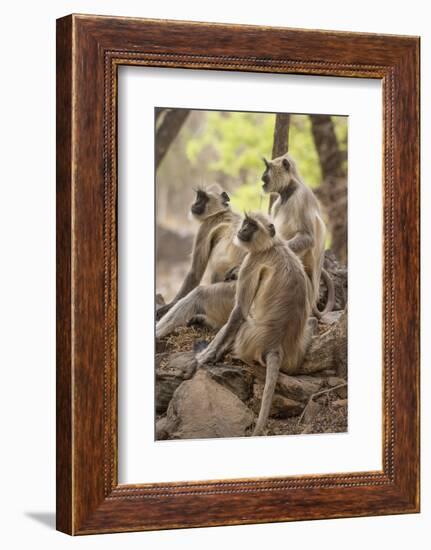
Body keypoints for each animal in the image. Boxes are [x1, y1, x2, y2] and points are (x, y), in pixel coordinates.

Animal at [197, 213, 312, 438]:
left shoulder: (251, 261)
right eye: (245, 223)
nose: (242, 230)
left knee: (241, 324)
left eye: (251, 226)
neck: (273, 245)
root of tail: (275, 346)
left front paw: (209, 355)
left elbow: (239, 311)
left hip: (247, 339)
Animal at [262, 152, 336, 320]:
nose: (262, 176)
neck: (288, 192)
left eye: (268, 168)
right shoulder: (277, 203)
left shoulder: (301, 197)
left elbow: (308, 238)